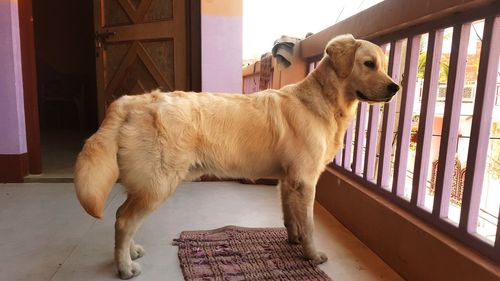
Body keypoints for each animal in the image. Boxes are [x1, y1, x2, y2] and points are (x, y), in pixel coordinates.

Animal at [75, 33, 398, 278]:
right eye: (369, 64)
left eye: (383, 65)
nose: (396, 87)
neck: (322, 99)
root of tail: (130, 102)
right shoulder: (305, 181)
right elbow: (308, 224)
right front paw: (312, 254)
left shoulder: (288, 180)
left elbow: (291, 217)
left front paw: (293, 241)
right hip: (158, 183)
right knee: (123, 220)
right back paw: (125, 267)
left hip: (145, 185)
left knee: (124, 217)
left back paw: (130, 252)